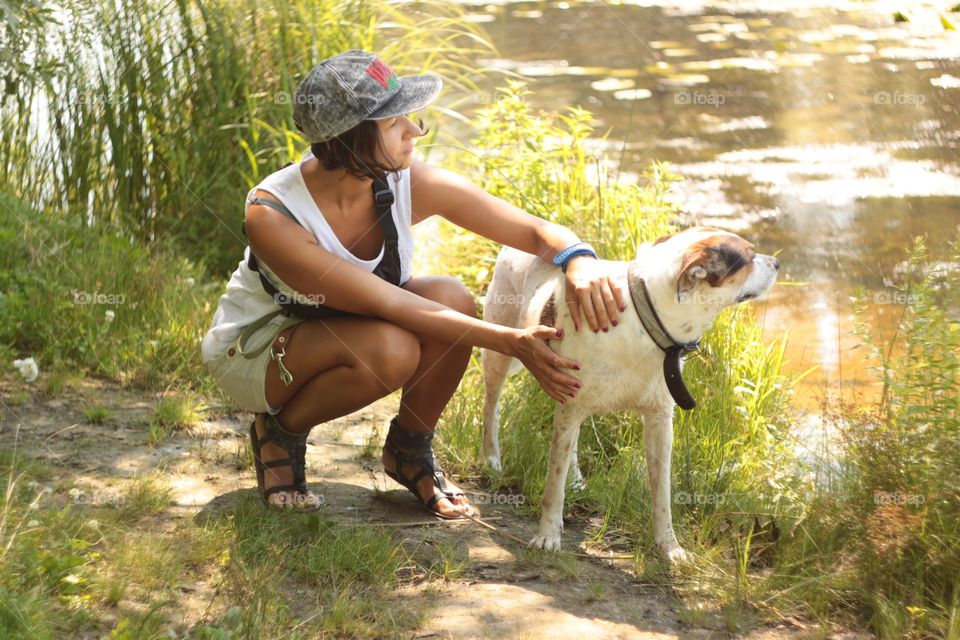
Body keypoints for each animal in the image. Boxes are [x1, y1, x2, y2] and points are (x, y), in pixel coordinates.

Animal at [480, 228, 780, 564]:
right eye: (749, 257)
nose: (778, 263)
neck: (644, 318)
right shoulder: (571, 405)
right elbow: (553, 486)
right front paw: (547, 536)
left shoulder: (659, 420)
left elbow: (662, 494)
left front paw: (669, 546)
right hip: (500, 353)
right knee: (491, 404)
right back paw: (491, 457)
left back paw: (576, 479)